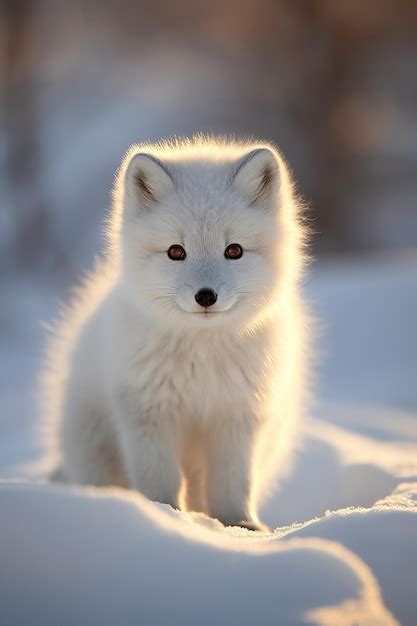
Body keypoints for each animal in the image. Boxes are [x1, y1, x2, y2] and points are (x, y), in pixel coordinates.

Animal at [42, 135, 308, 528]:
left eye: (234, 250)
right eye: (175, 251)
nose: (206, 296)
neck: (202, 360)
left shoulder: (238, 417)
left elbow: (233, 484)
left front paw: (239, 525)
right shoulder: (148, 415)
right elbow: (160, 482)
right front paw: (165, 517)